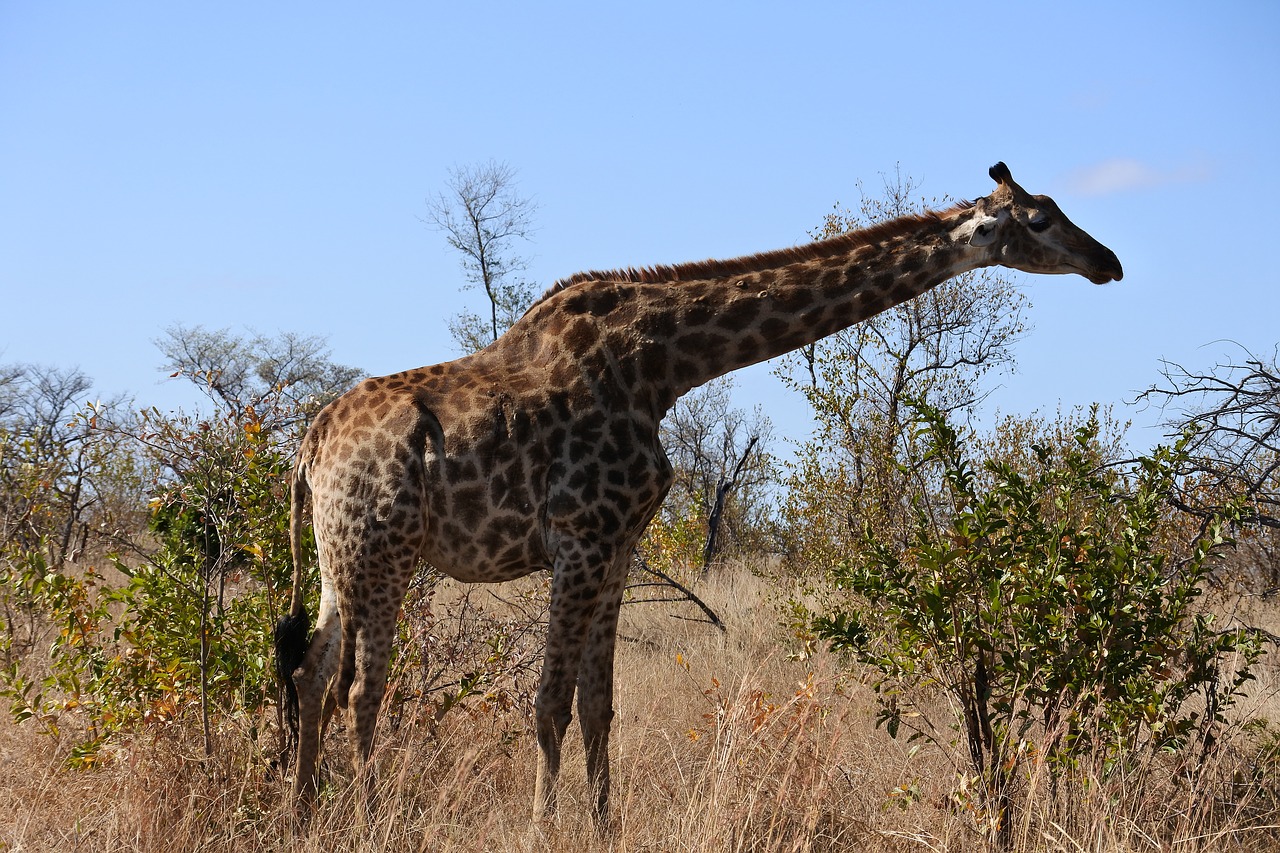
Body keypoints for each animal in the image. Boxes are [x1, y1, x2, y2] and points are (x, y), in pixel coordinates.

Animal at [272, 161, 1121, 824]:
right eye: (1040, 218)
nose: (1108, 261)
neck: (665, 367)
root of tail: (309, 447)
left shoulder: (617, 545)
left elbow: (598, 705)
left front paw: (604, 827)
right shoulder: (580, 536)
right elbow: (548, 702)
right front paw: (542, 828)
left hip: (339, 557)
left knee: (311, 671)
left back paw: (303, 813)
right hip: (383, 551)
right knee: (360, 688)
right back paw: (367, 816)